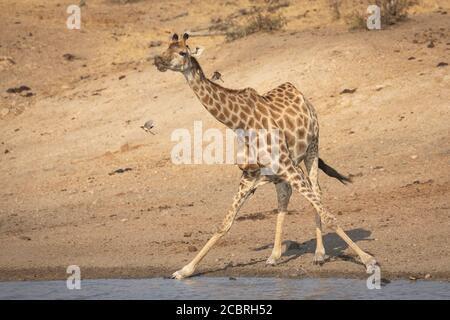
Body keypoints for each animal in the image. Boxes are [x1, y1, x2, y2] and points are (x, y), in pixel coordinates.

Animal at [155, 31, 376, 278]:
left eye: (182, 52)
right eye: (165, 48)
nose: (158, 61)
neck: (239, 122)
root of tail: (300, 94)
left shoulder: (286, 165)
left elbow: (329, 215)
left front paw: (368, 260)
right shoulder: (249, 175)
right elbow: (224, 224)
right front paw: (184, 270)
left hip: (312, 147)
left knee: (316, 192)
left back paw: (319, 253)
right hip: (284, 169)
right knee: (285, 196)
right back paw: (274, 256)